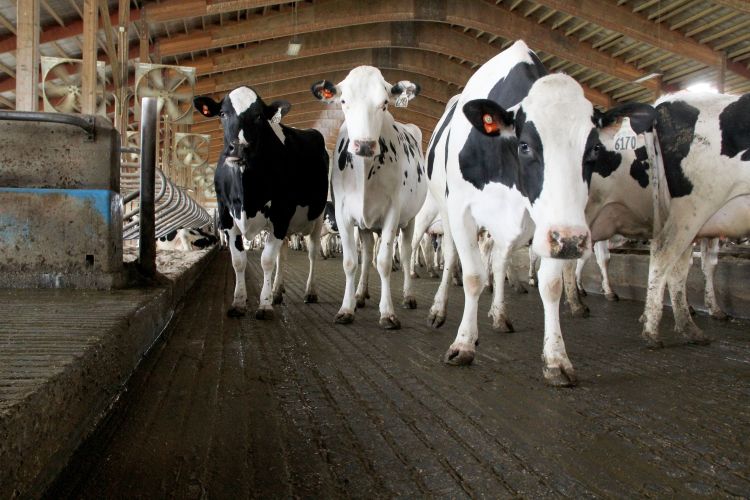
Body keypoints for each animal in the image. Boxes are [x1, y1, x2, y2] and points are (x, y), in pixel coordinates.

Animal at [192, 86, 328, 318]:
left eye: (258, 116)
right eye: (223, 113)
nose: (239, 147)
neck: (247, 195)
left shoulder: (281, 214)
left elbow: (266, 260)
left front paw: (264, 305)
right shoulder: (227, 217)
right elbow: (239, 261)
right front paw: (239, 302)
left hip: (317, 217)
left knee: (312, 253)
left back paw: (310, 292)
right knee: (283, 254)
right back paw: (277, 291)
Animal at [312, 67, 428, 332]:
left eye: (384, 103)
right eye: (344, 101)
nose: (364, 145)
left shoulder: (393, 213)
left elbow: (384, 262)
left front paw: (387, 313)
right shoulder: (343, 215)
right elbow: (350, 262)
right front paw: (346, 308)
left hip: (410, 220)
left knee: (406, 253)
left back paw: (408, 296)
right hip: (364, 226)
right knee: (365, 255)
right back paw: (360, 294)